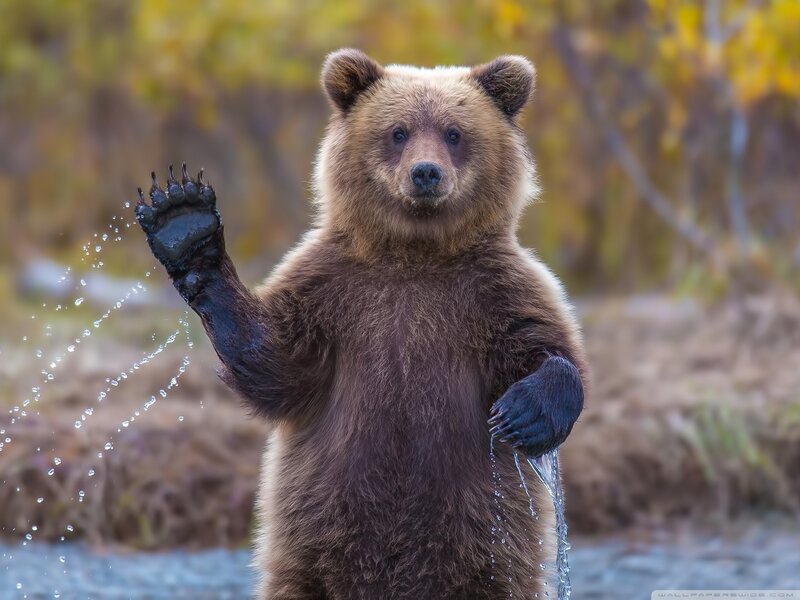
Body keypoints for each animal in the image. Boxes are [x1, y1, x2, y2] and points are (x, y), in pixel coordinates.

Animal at [134, 49, 587, 599]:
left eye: (454, 132)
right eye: (398, 131)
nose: (426, 173)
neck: (415, 252)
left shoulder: (494, 291)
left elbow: (545, 346)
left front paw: (523, 412)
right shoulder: (334, 290)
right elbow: (277, 363)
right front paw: (184, 222)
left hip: (490, 550)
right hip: (311, 546)